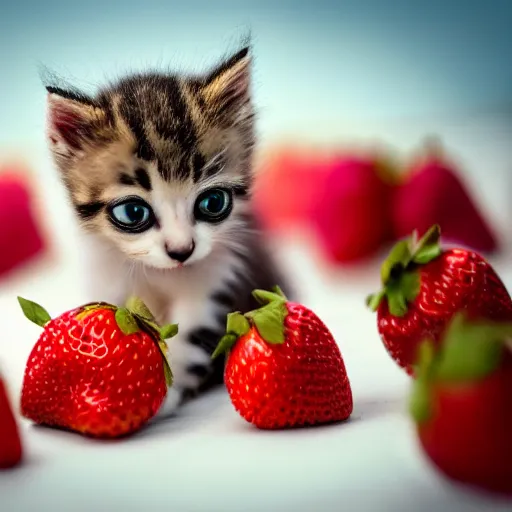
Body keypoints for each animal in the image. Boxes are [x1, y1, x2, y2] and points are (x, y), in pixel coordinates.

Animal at [45, 46, 292, 418]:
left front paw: (162, 392)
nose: (181, 250)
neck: (159, 274)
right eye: (133, 212)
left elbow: (191, 336)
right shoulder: (107, 274)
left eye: (213, 202)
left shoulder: (220, 277)